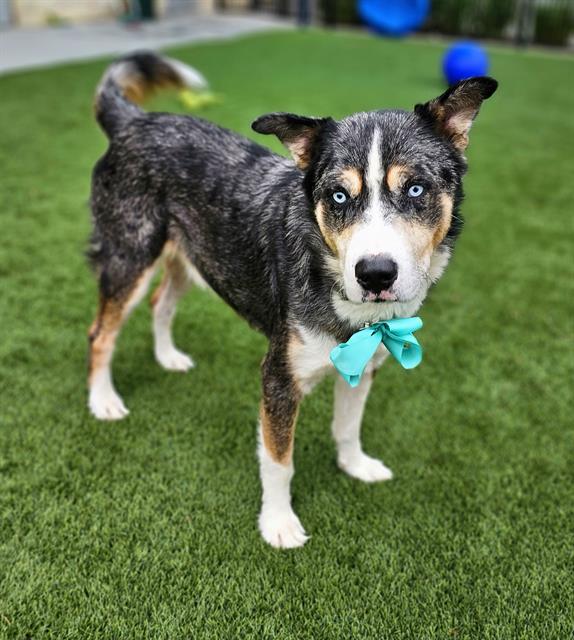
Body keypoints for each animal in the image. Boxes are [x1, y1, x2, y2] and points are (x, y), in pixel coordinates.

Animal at [88, 51, 498, 552]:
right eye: (338, 196)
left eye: (415, 189)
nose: (375, 273)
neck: (334, 283)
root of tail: (135, 121)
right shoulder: (279, 377)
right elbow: (279, 461)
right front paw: (278, 524)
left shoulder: (365, 363)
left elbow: (347, 427)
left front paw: (355, 466)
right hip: (130, 255)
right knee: (101, 332)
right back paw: (103, 401)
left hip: (195, 255)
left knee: (160, 304)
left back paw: (167, 357)